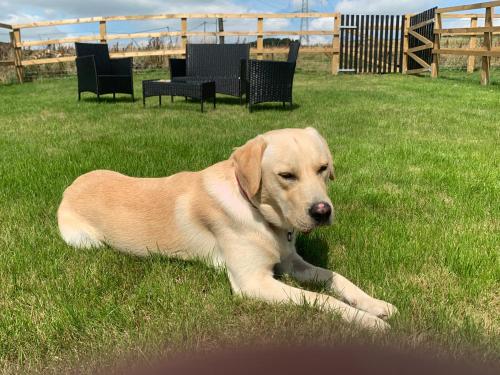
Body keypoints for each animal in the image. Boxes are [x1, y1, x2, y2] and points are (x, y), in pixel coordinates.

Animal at [58, 128, 396, 330]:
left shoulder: (292, 263)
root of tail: (70, 186)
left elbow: (335, 278)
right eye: (286, 175)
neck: (258, 212)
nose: (322, 211)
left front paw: (375, 304)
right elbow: (319, 298)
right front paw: (366, 320)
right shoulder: (253, 282)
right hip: (86, 242)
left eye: (323, 168)